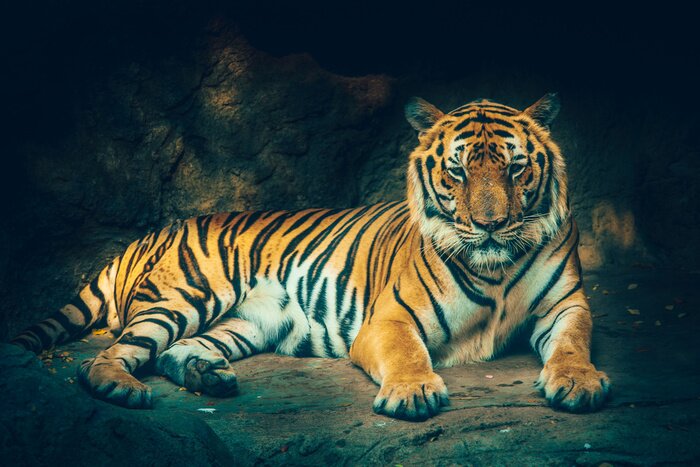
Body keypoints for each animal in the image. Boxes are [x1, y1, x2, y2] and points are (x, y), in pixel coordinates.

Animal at [12, 93, 610, 421]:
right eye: (458, 171)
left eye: (515, 167)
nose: (490, 226)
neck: (496, 267)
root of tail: (155, 231)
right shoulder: (390, 319)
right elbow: (409, 354)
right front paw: (413, 391)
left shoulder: (567, 305)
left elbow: (573, 343)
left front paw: (578, 382)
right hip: (186, 296)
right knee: (105, 357)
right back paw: (123, 387)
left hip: (245, 324)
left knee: (173, 353)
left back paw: (211, 378)